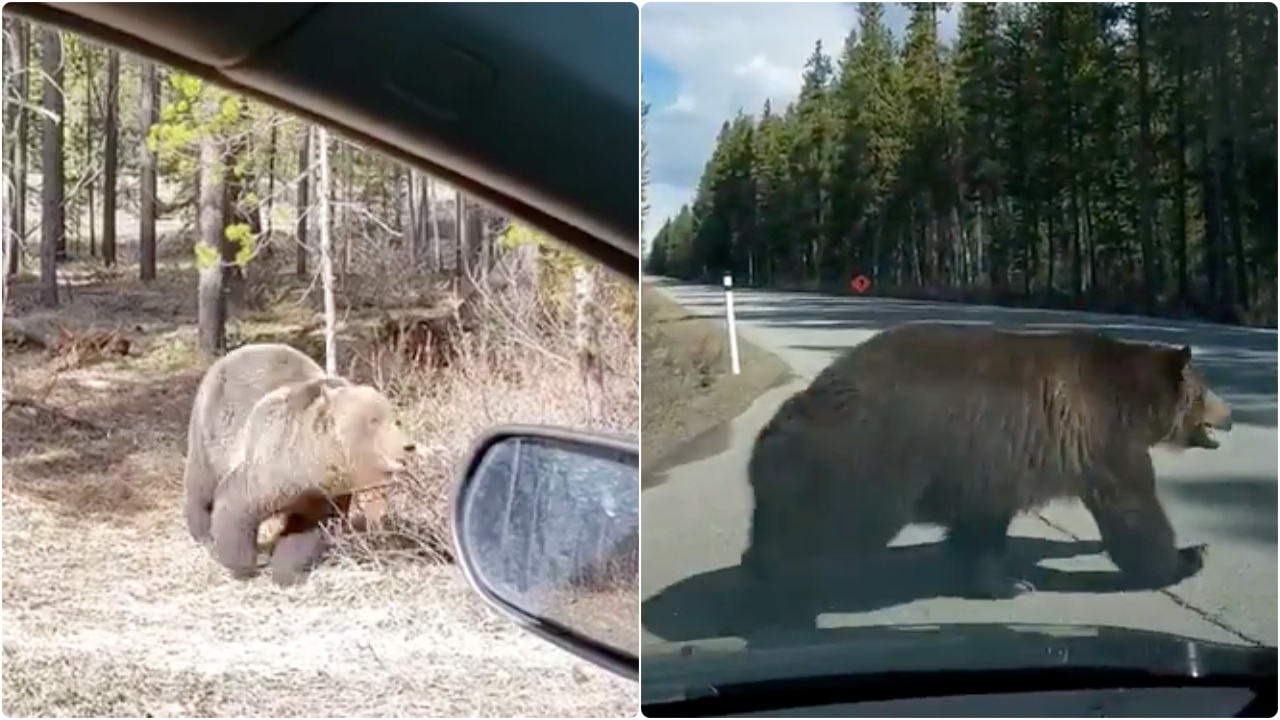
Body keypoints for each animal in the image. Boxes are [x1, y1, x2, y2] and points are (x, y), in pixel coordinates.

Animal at [747, 322, 1233, 602]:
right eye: (1205, 390)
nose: (1230, 416)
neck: (1131, 401)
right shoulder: (1100, 438)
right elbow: (1134, 509)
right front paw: (1189, 555)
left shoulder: (991, 462)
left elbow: (981, 527)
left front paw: (1002, 583)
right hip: (865, 463)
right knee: (820, 524)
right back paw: (778, 582)